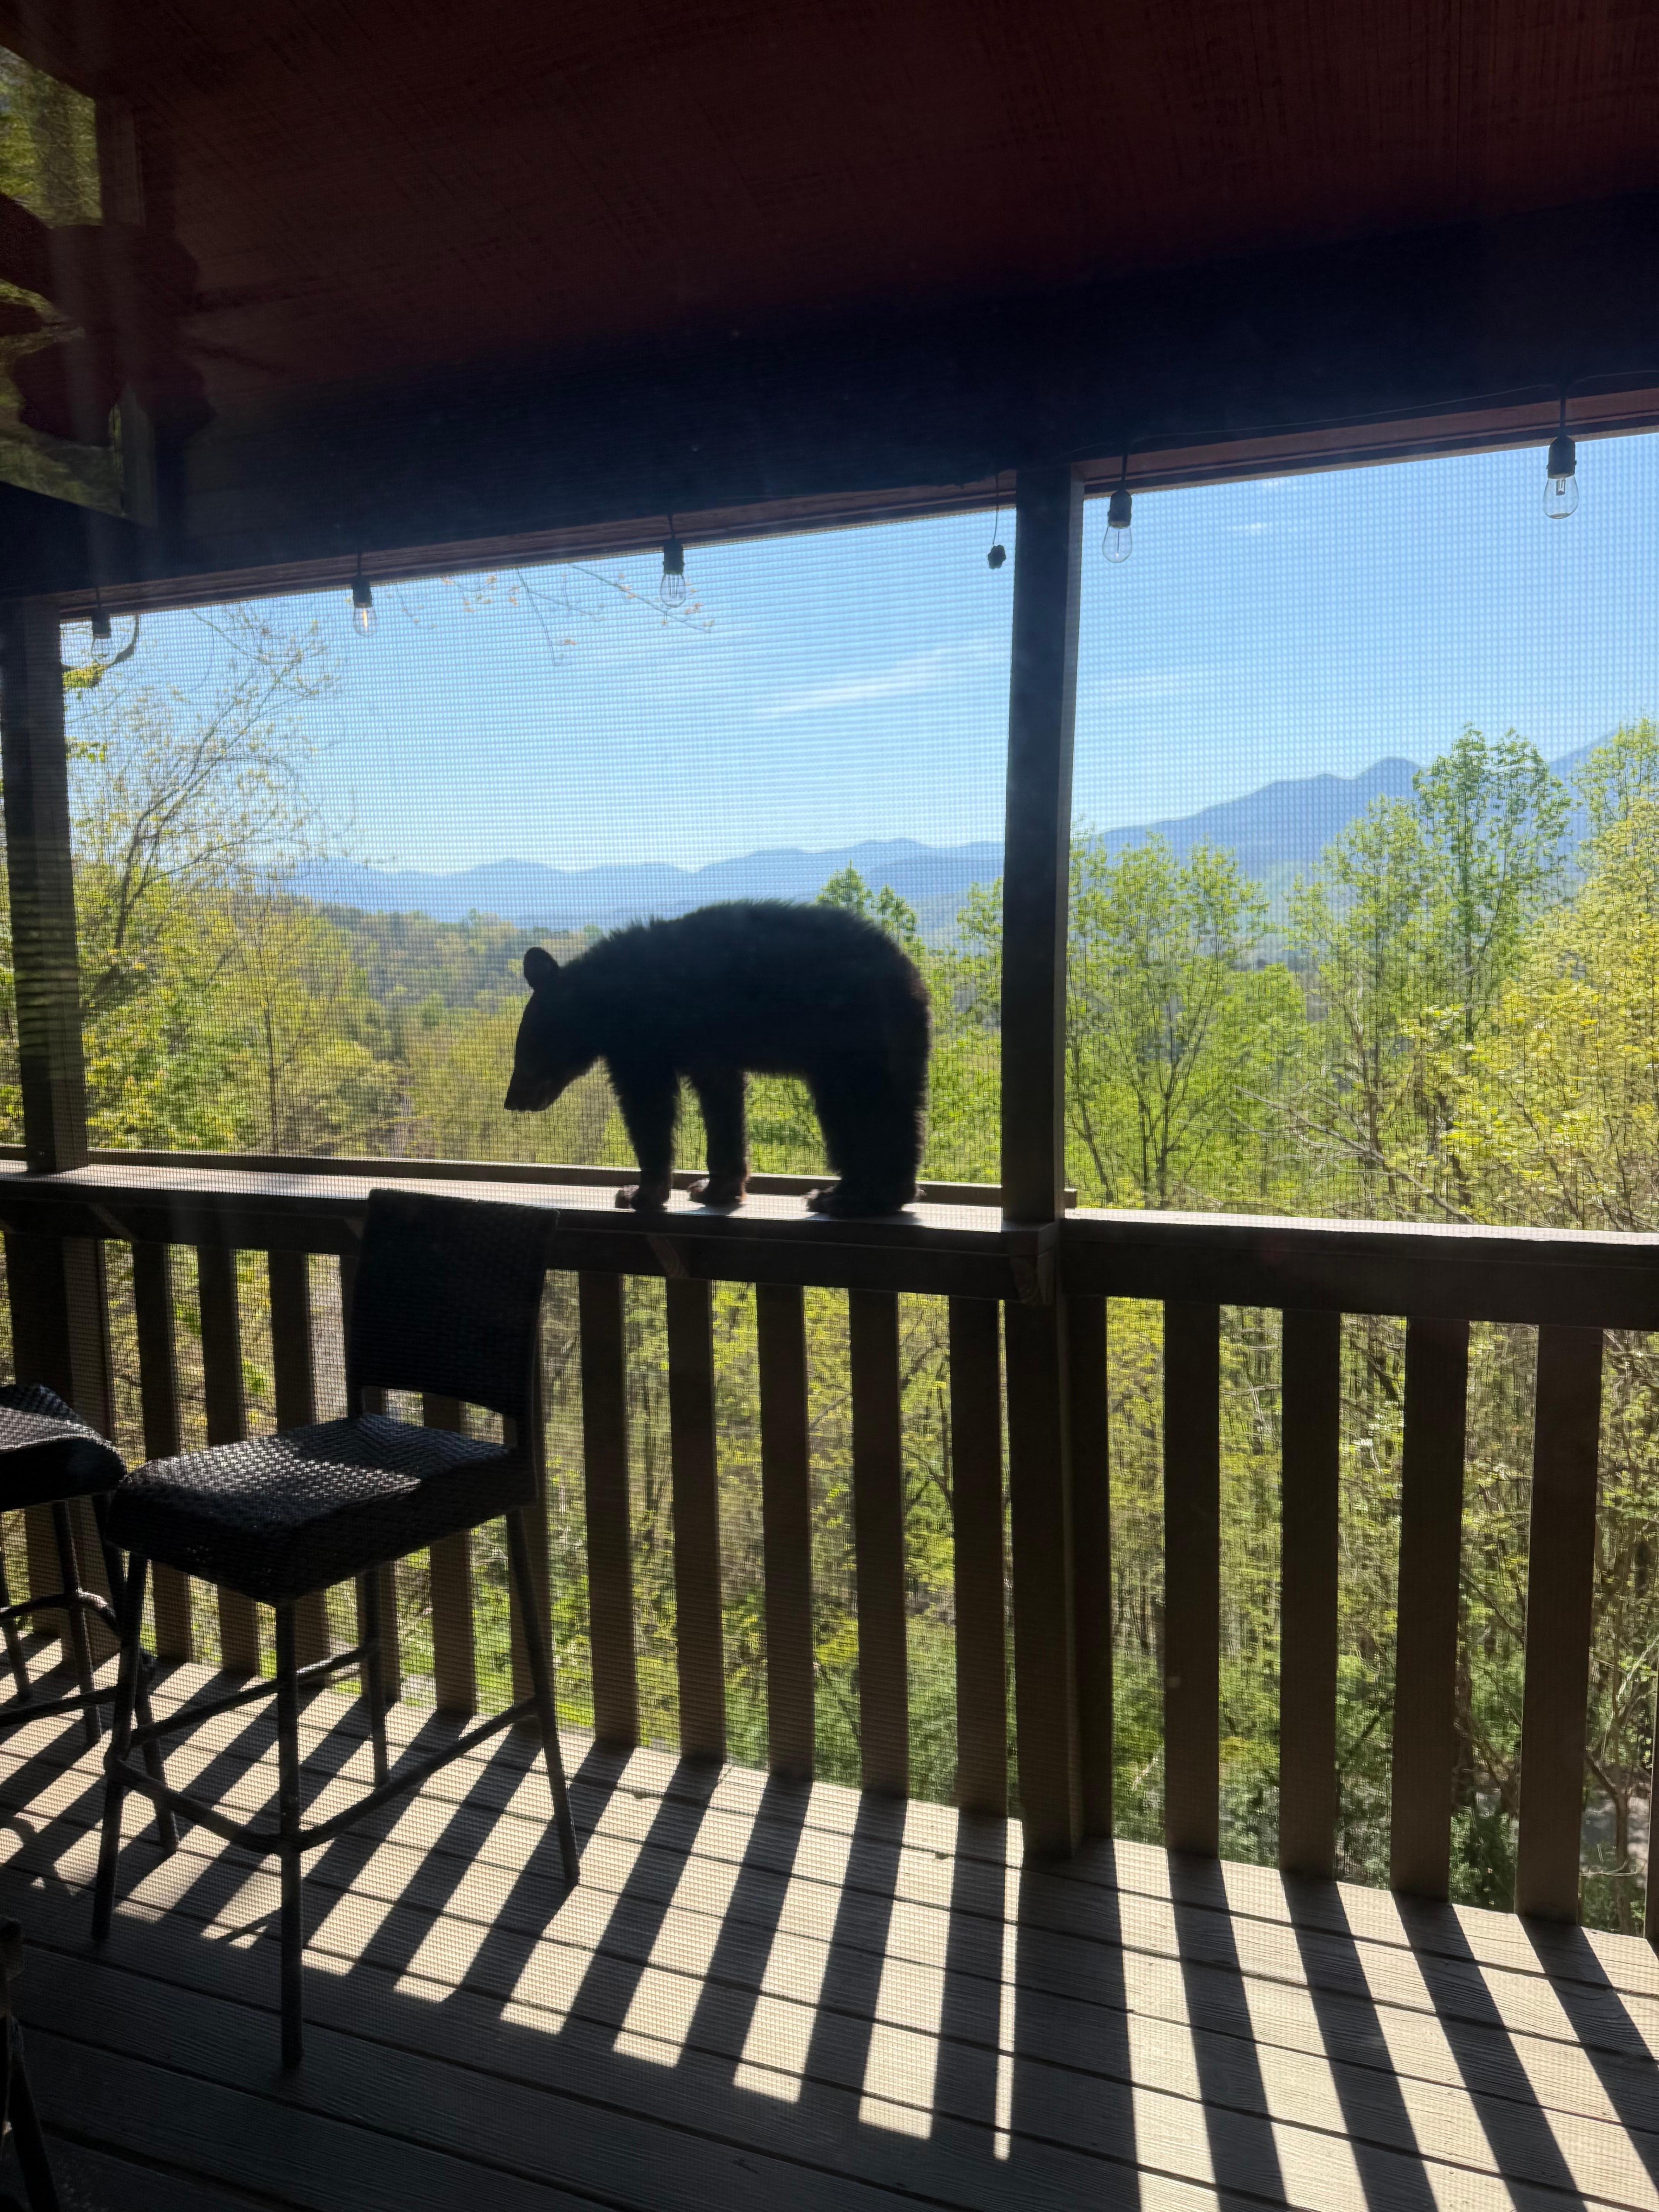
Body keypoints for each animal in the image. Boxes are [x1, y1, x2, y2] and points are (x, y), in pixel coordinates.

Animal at [504, 900, 931, 1216]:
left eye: (525, 1053)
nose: (512, 1101)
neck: (601, 998)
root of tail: (913, 980)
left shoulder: (643, 1042)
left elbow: (650, 1109)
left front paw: (639, 1193)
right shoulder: (710, 1053)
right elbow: (722, 1106)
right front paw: (716, 1188)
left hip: (851, 1042)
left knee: (857, 1113)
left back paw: (844, 1197)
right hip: (891, 1050)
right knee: (899, 1113)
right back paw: (882, 1192)